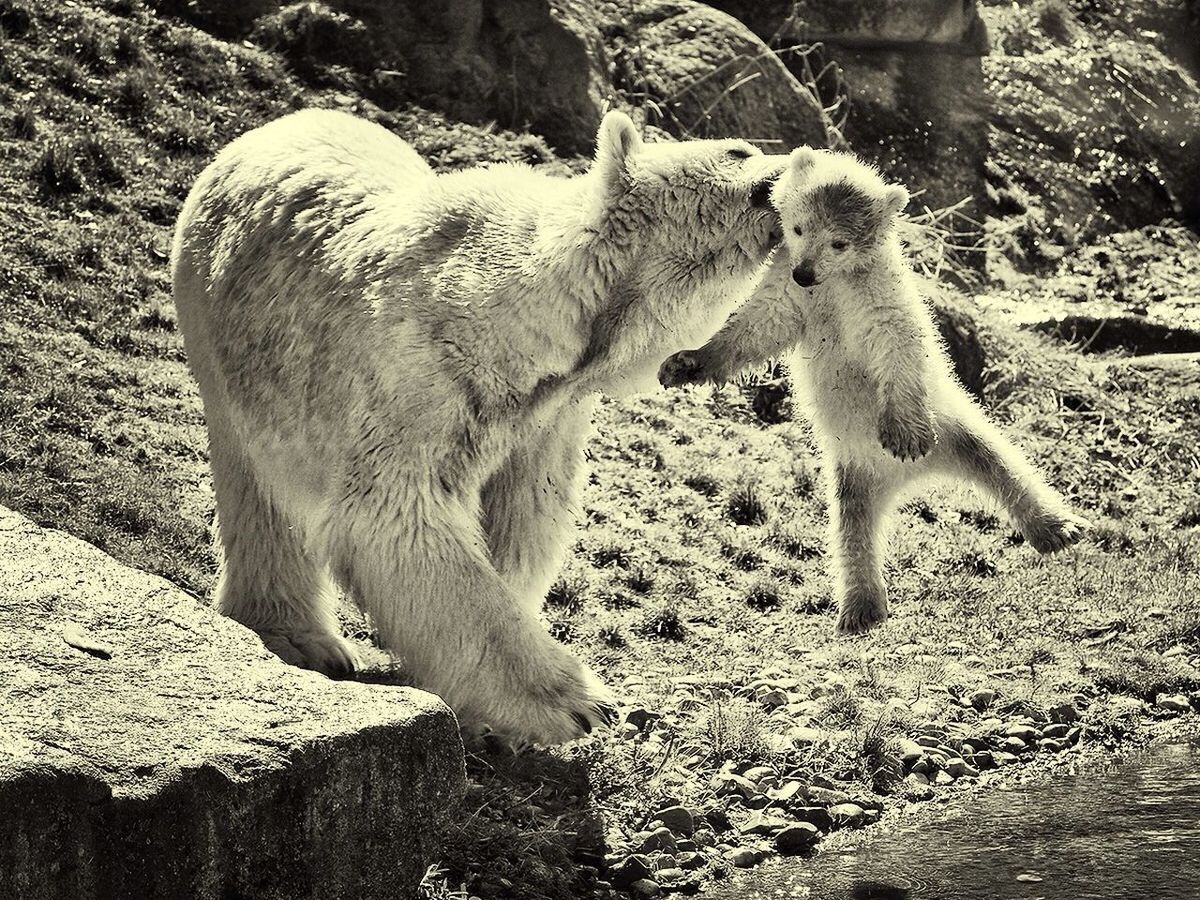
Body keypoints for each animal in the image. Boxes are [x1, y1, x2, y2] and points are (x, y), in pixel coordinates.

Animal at [171, 107, 787, 748]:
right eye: (740, 150)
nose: (798, 161)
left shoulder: (545, 417)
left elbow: (523, 517)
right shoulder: (419, 378)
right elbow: (401, 516)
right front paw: (575, 704)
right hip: (227, 335)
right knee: (259, 486)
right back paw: (300, 639)